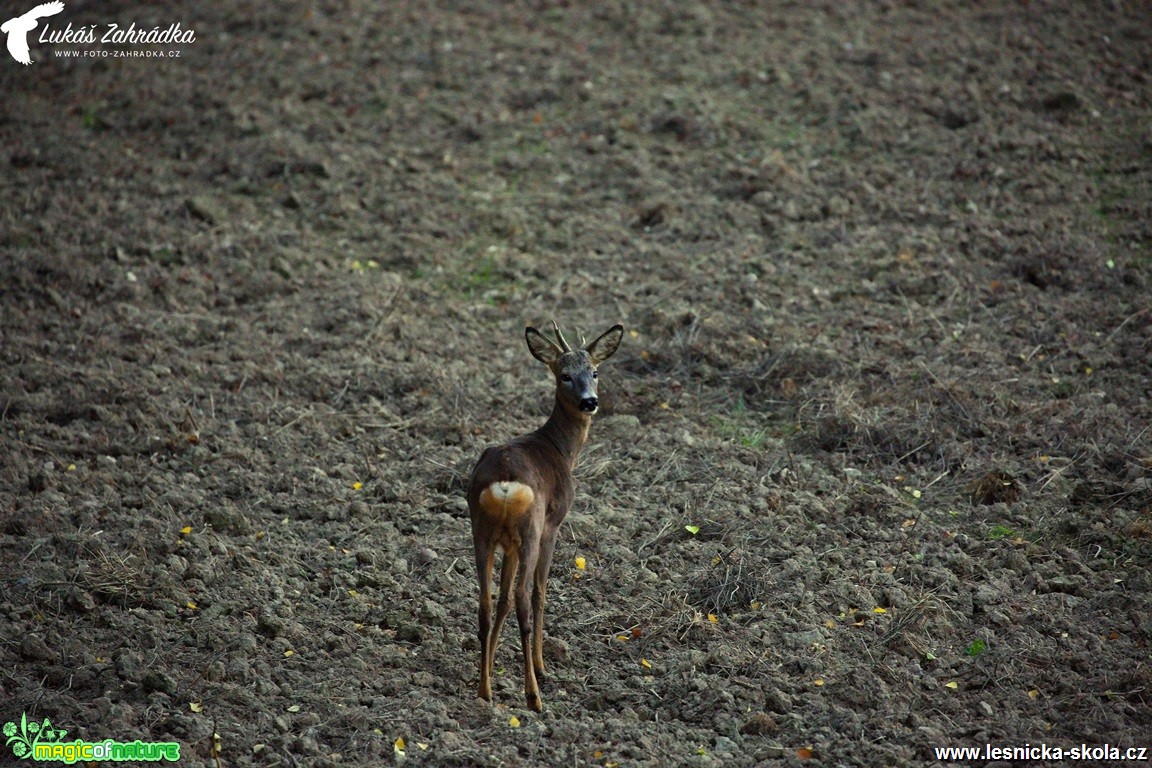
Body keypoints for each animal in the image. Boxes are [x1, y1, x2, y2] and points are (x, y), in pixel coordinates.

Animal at [467, 317, 626, 709]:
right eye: (565, 375)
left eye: (595, 372)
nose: (590, 401)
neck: (560, 449)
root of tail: (505, 483)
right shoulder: (554, 525)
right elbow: (540, 592)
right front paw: (540, 666)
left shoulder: (506, 544)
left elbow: (502, 600)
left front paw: (492, 666)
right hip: (531, 530)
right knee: (525, 598)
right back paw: (533, 694)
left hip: (483, 531)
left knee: (486, 604)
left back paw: (484, 691)